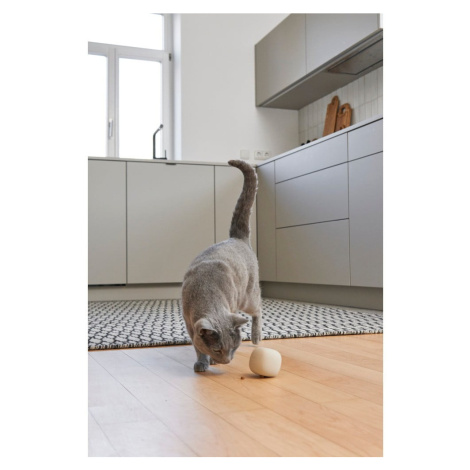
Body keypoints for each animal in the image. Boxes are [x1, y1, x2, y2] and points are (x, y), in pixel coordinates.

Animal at [182, 159, 262, 372]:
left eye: (234, 347)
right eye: (217, 349)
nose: (227, 361)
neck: (206, 291)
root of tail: (237, 238)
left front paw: (209, 362)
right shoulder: (189, 323)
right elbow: (197, 345)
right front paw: (203, 361)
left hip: (247, 297)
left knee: (258, 308)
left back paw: (257, 337)